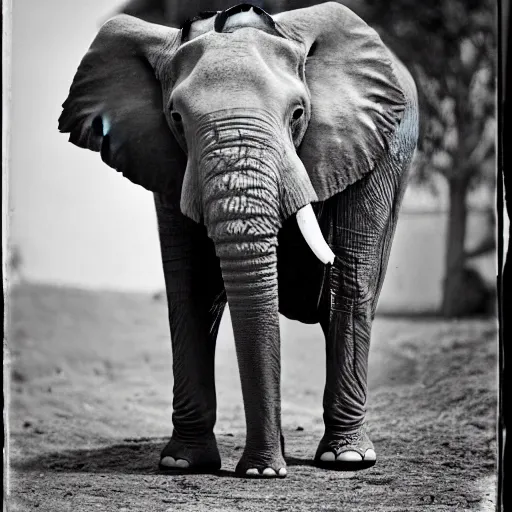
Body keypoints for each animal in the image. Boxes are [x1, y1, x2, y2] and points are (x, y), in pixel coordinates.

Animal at [59, 2, 420, 478]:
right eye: (176, 119)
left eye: (298, 114)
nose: (264, 472)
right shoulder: (163, 160)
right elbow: (192, 286)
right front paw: (182, 463)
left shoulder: (371, 146)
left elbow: (348, 281)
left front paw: (342, 461)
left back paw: (342, 457)